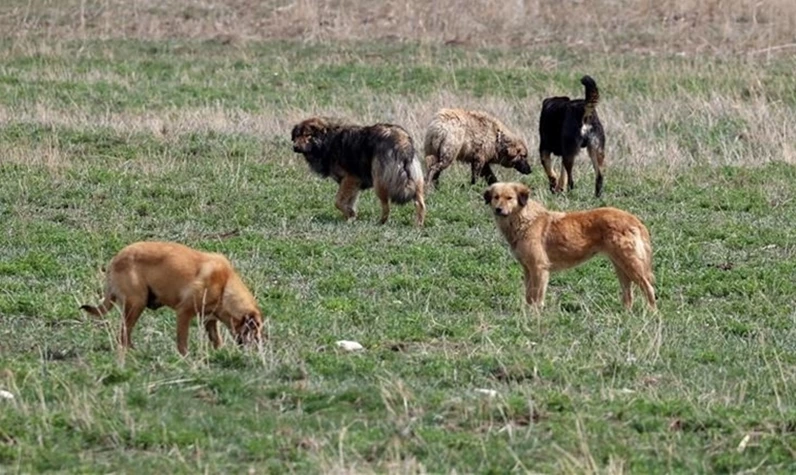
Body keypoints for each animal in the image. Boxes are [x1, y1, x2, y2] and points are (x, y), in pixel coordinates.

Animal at [83, 244, 266, 356]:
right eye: (255, 329)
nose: (259, 348)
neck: (225, 286)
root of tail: (115, 261)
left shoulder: (209, 320)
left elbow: (216, 340)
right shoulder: (184, 313)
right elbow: (182, 341)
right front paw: (185, 357)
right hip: (136, 304)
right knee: (123, 333)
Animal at [290, 116, 426, 226]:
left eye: (308, 135)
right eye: (297, 136)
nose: (295, 147)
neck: (328, 141)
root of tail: (402, 140)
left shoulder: (350, 178)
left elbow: (338, 202)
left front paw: (351, 215)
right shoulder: (353, 184)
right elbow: (348, 202)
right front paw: (350, 218)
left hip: (380, 182)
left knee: (386, 206)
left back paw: (381, 222)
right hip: (416, 181)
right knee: (420, 203)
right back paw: (418, 225)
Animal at [482, 181, 656, 308]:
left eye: (509, 198)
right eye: (496, 197)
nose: (498, 209)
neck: (524, 219)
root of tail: (634, 219)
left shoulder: (539, 268)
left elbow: (536, 297)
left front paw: (535, 316)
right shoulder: (528, 269)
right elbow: (528, 296)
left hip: (630, 264)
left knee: (649, 288)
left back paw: (651, 314)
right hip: (620, 266)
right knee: (628, 295)